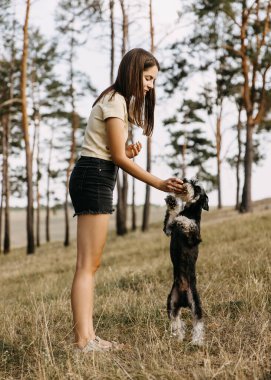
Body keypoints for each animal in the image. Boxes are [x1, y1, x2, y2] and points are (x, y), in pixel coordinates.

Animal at [164, 177, 210, 344]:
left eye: (197, 188)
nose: (184, 180)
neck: (190, 211)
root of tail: (183, 297)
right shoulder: (168, 229)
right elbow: (172, 217)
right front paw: (172, 202)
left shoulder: (194, 238)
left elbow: (187, 222)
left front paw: (182, 218)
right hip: (171, 303)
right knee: (176, 320)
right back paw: (178, 337)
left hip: (195, 303)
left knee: (198, 322)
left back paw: (197, 342)